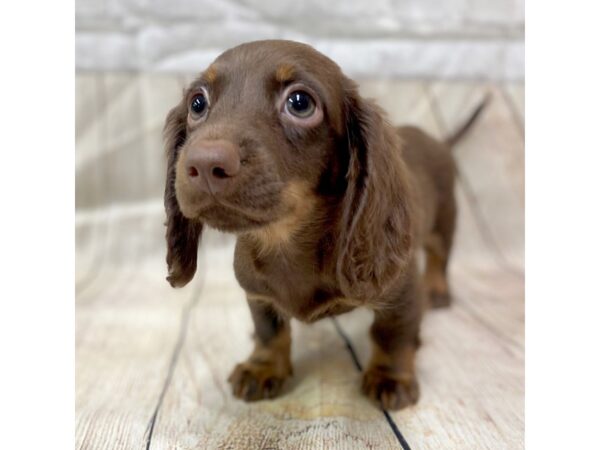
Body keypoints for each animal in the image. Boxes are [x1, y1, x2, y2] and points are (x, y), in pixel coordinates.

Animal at [164, 39, 488, 412]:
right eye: (197, 103)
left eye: (300, 103)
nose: (203, 164)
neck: (285, 239)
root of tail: (436, 139)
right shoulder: (256, 293)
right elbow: (269, 330)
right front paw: (263, 366)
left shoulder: (400, 289)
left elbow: (392, 334)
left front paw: (390, 376)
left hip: (444, 221)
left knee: (439, 258)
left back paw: (436, 290)